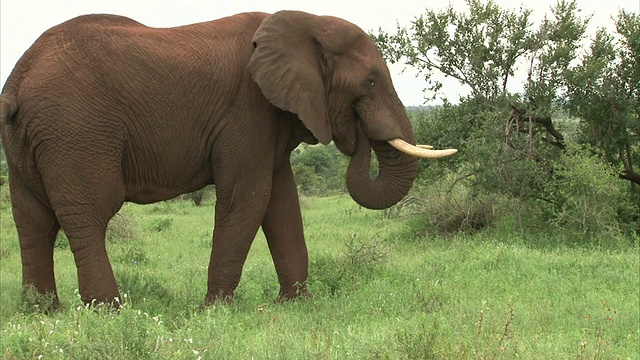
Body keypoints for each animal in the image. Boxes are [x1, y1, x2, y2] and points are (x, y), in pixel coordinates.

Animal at [1, 9, 460, 306]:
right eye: (370, 82)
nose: (356, 133)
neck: (305, 22)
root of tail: (18, 80)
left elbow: (282, 205)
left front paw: (294, 305)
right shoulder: (248, 111)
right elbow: (248, 198)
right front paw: (217, 310)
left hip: (28, 141)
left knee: (33, 221)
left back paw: (43, 311)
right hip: (75, 130)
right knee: (89, 214)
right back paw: (109, 310)